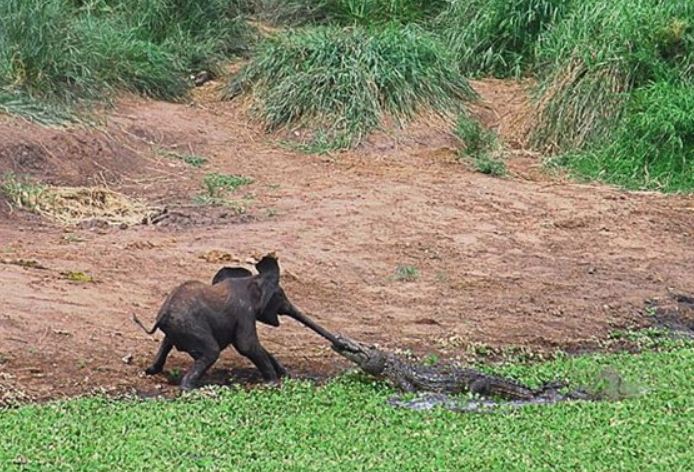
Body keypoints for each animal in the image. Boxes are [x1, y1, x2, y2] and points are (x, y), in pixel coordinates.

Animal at [135, 256, 292, 390]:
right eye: (280, 295)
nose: (288, 375)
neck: (251, 279)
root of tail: (162, 315)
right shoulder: (244, 311)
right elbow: (246, 345)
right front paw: (273, 384)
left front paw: (284, 375)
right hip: (190, 327)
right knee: (212, 351)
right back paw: (190, 389)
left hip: (178, 328)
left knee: (168, 342)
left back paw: (151, 371)